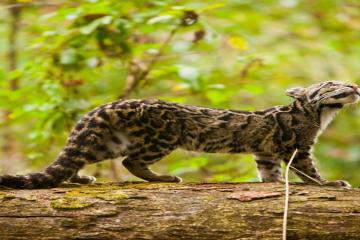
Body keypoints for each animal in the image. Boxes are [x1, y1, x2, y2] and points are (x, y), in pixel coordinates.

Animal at [0, 81, 358, 188]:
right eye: (331, 85)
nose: (354, 86)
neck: (317, 114)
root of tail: (110, 105)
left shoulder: (265, 152)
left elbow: (268, 173)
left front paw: (273, 185)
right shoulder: (296, 148)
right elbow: (309, 173)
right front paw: (330, 184)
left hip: (110, 141)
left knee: (77, 160)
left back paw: (79, 179)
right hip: (163, 137)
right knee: (132, 162)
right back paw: (163, 178)